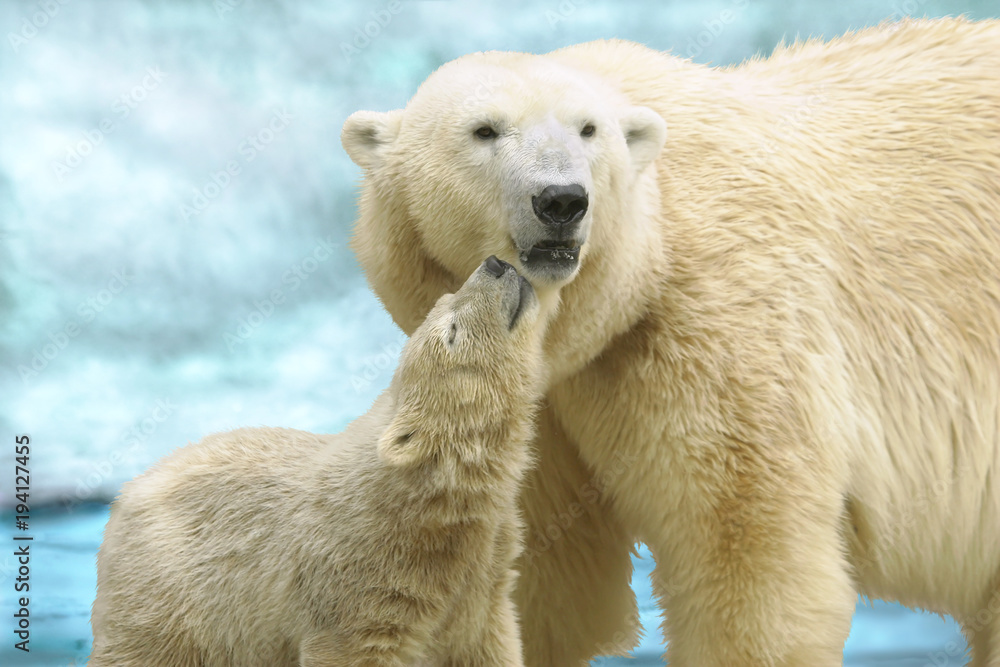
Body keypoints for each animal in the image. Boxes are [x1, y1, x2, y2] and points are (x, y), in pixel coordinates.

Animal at [344, 18, 1000, 664]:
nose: (562, 200)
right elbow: (547, 575)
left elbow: (744, 549)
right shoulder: (534, 401)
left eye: (588, 130)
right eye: (484, 130)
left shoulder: (714, 321)